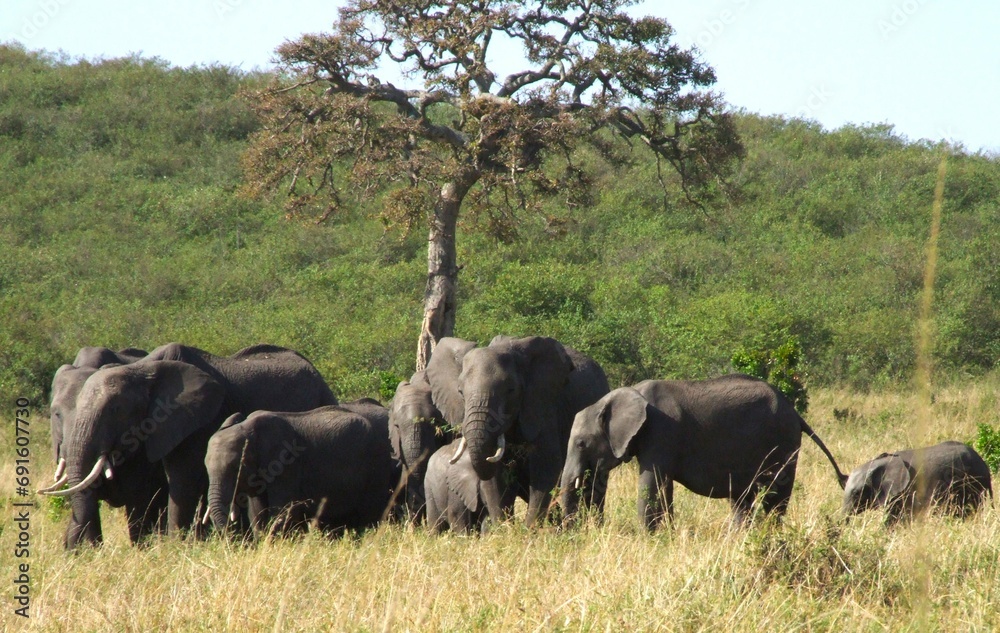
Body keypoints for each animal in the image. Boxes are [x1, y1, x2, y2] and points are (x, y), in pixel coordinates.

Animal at [204, 404, 398, 537]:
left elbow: (282, 511)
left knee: (370, 514)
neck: (248, 428)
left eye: (237, 468)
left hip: (376, 463)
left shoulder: (286, 465)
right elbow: (257, 514)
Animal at [426, 335, 610, 527]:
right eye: (460, 392)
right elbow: (495, 477)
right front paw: (504, 528)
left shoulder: (545, 407)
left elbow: (546, 467)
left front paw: (529, 530)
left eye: (511, 390)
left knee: (595, 483)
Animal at [559, 375, 849, 530]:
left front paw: (647, 537)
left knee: (775, 495)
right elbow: (663, 488)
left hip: (783, 441)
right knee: (742, 498)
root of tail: (796, 414)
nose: (575, 532)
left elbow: (650, 484)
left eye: (581, 443)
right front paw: (665, 535)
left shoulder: (661, 432)